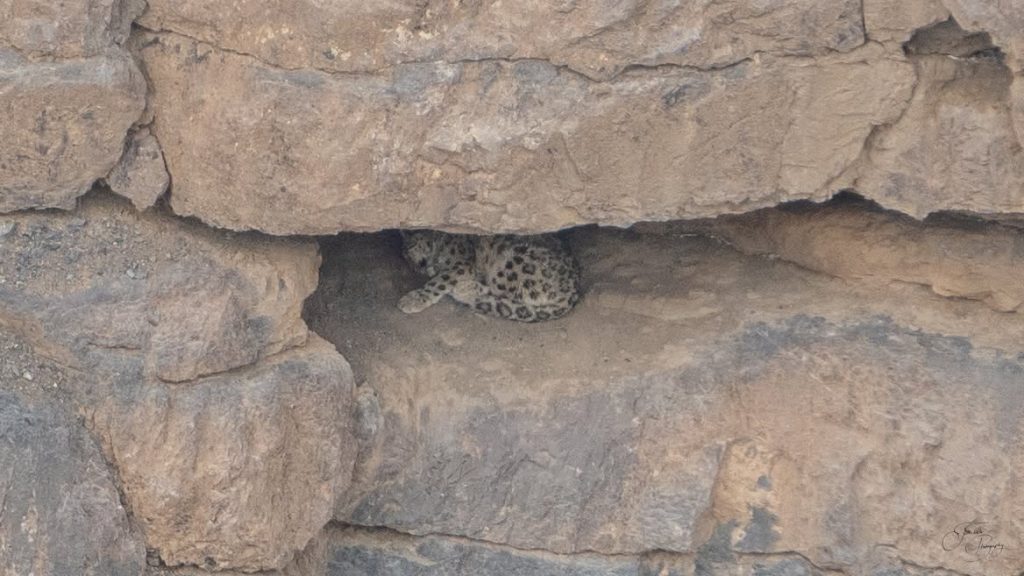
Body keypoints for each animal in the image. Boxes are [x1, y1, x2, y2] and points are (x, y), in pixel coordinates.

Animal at [397, 230, 581, 322]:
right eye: (403, 256)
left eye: (409, 247)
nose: (415, 268)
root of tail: (574, 288)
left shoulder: (461, 264)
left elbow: (439, 281)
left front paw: (413, 300)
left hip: (512, 264)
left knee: (502, 293)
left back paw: (464, 289)